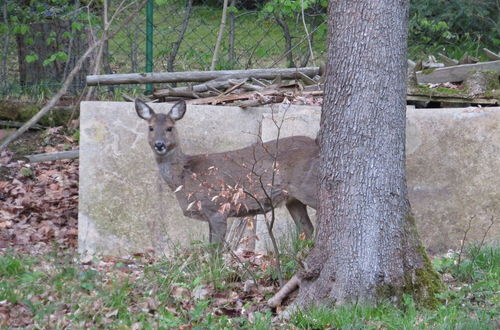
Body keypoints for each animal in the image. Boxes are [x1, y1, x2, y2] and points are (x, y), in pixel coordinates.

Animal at [135, 99, 318, 249]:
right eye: (151, 128)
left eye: (169, 128)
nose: (159, 145)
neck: (185, 176)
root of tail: (315, 143)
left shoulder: (217, 207)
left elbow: (216, 251)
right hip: (293, 199)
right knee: (307, 228)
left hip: (308, 185)